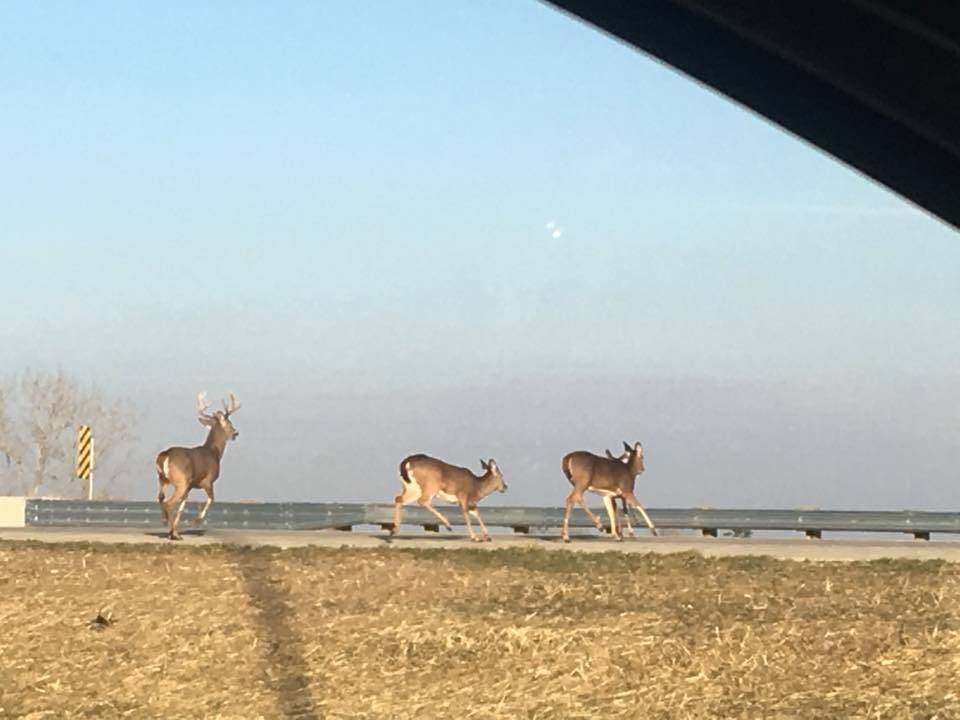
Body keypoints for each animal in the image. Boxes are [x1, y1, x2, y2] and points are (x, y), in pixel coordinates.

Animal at [156, 394, 242, 540]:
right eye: (230, 424)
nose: (236, 433)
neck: (214, 453)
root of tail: (165, 455)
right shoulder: (207, 480)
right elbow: (211, 499)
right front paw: (195, 522)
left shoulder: (190, 486)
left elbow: (182, 507)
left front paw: (175, 530)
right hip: (180, 481)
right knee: (169, 502)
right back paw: (171, 530)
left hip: (163, 479)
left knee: (161, 498)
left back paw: (170, 528)